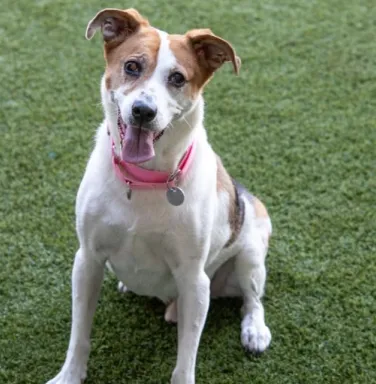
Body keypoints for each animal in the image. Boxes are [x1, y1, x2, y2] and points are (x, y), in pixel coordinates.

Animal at [45, 9, 272, 384]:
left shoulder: (194, 280)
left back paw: (255, 331)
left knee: (252, 299)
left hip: (251, 253)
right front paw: (69, 376)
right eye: (132, 66)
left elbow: (185, 361)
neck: (143, 181)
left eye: (177, 78)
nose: (142, 111)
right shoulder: (87, 259)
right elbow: (79, 334)